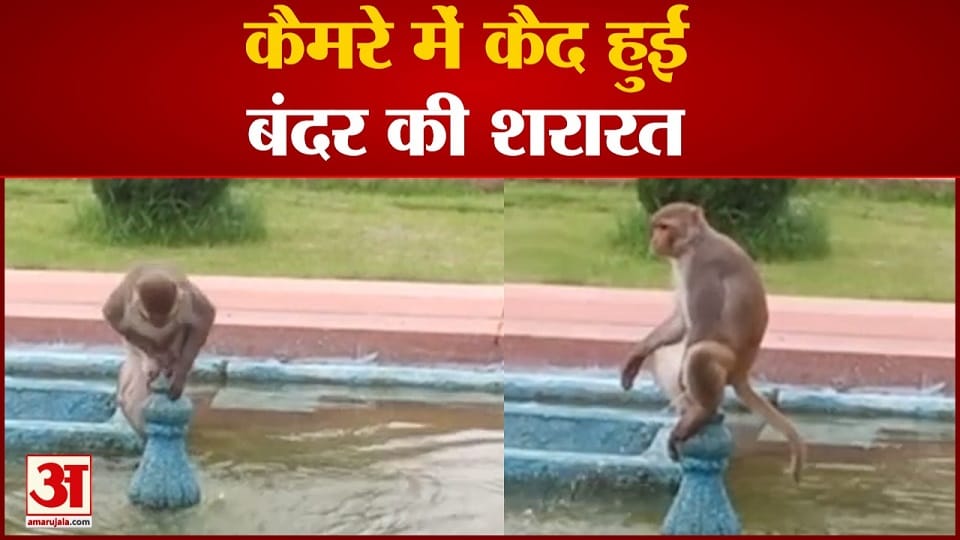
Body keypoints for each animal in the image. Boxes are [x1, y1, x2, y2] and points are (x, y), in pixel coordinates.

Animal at [102, 262, 216, 436]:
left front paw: (180, 374)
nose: (159, 323)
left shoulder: (187, 298)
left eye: (166, 317)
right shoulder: (122, 301)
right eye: (149, 317)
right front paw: (154, 353)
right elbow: (112, 318)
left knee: (181, 328)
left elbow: (205, 316)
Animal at [619, 202, 806, 483]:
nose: (654, 240)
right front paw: (636, 355)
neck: (693, 243)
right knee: (665, 353)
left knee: (699, 355)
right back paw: (692, 413)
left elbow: (701, 325)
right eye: (656, 227)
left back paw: (702, 412)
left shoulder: (703, 266)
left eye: (664, 227)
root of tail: (742, 371)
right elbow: (680, 323)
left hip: (727, 365)